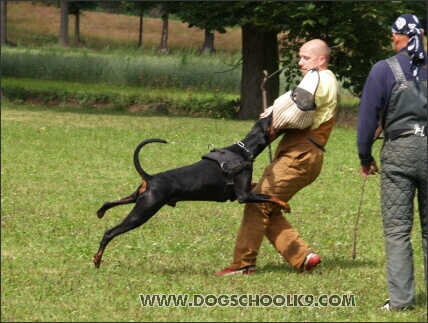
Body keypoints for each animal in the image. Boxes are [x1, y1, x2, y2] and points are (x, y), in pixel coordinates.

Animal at [92, 112, 290, 270]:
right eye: (270, 120)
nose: (273, 112)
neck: (244, 150)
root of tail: (150, 178)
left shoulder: (238, 193)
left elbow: (259, 187)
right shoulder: (244, 195)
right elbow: (271, 196)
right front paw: (285, 205)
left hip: (138, 199)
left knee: (109, 202)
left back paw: (101, 213)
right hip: (144, 211)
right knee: (110, 232)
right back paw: (97, 259)